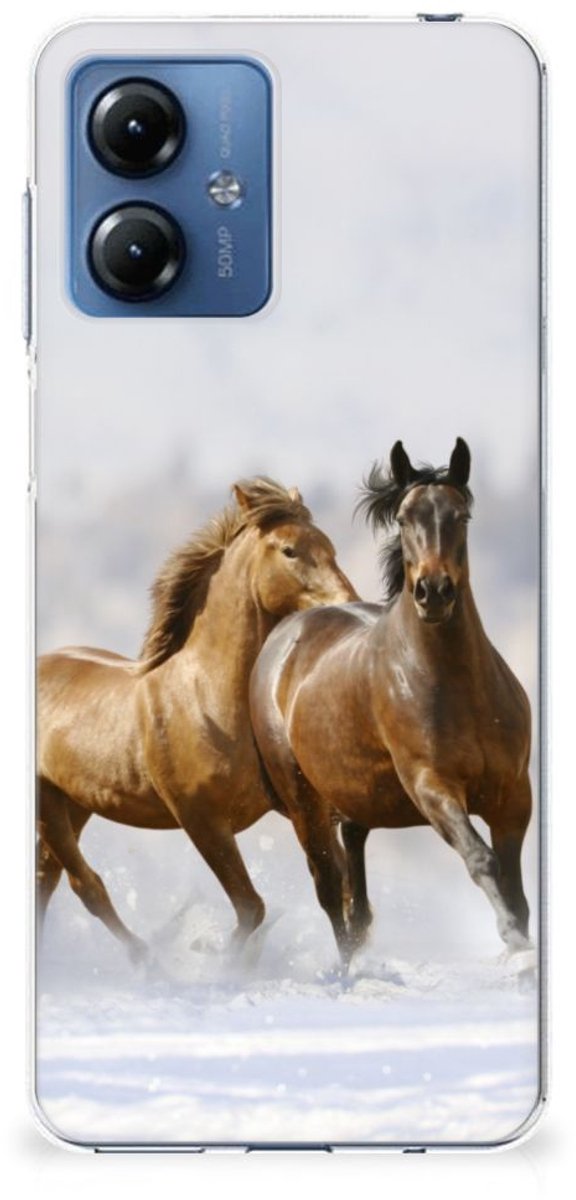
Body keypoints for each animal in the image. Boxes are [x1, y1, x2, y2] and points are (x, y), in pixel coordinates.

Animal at [37, 478, 357, 962]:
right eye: (289, 550)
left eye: (330, 546)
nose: (349, 604)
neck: (207, 698)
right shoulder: (201, 819)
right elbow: (251, 907)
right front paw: (218, 960)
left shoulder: (296, 805)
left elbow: (335, 886)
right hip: (48, 803)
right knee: (83, 884)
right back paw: (148, 959)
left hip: (73, 802)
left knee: (48, 878)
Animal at [250, 440, 533, 967]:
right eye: (403, 518)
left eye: (461, 515)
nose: (433, 592)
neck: (458, 687)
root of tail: (284, 635)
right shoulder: (432, 787)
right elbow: (481, 859)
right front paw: (514, 943)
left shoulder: (513, 795)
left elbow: (515, 885)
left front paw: (521, 943)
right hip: (304, 802)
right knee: (329, 887)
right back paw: (347, 969)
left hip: (354, 796)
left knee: (354, 882)